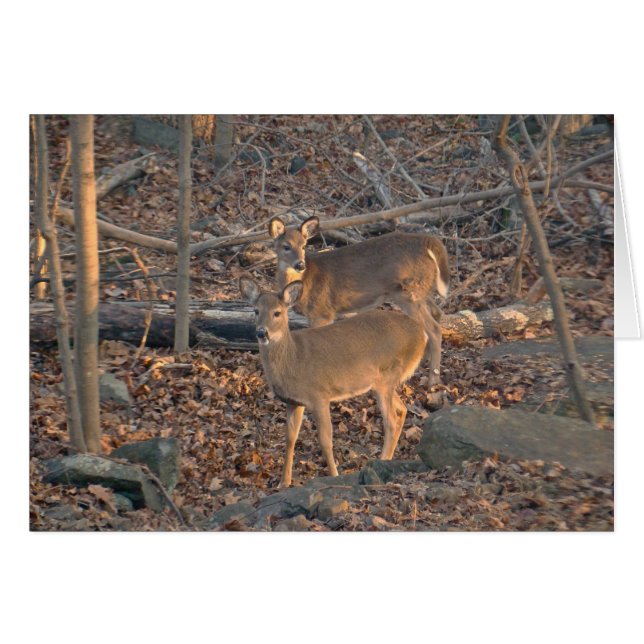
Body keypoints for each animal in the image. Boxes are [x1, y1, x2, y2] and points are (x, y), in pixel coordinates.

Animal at [240, 277, 428, 488]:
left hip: (386, 377)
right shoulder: (294, 401)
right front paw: (284, 482)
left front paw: (334, 475)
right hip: (384, 381)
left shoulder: (319, 394)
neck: (294, 359)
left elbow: (325, 439)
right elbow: (290, 438)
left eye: (277, 312)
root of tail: (422, 335)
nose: (261, 333)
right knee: (402, 409)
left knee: (391, 421)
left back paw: (381, 462)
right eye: (256, 311)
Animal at [268, 215, 449, 407]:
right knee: (437, 313)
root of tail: (428, 241)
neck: (307, 281)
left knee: (434, 328)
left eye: (303, 245)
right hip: (420, 291)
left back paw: (433, 381)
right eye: (286, 246)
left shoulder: (322, 311)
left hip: (408, 292)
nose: (300, 264)